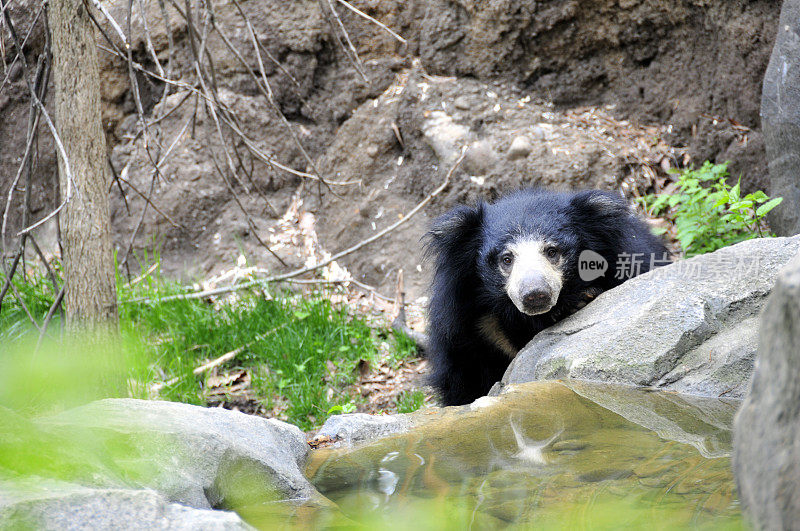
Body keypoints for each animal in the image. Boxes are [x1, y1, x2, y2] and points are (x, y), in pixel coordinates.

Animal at [424, 189, 668, 406]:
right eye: (506, 259)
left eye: (552, 251)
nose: (535, 294)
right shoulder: (468, 331)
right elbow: (465, 385)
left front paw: (584, 297)